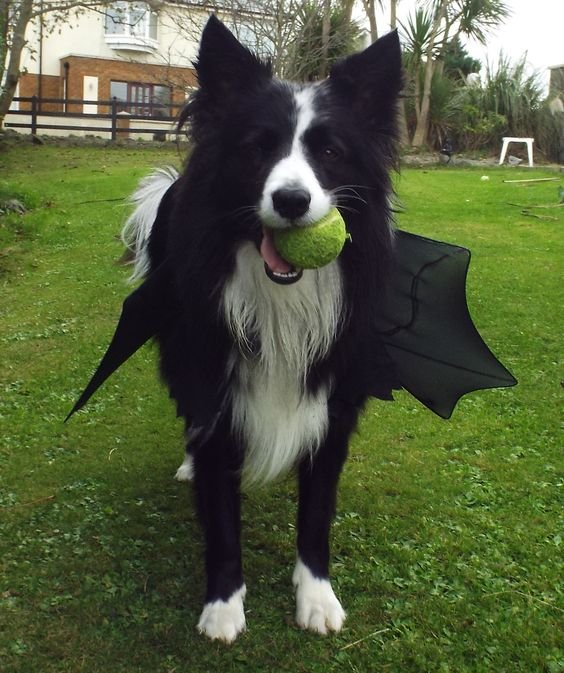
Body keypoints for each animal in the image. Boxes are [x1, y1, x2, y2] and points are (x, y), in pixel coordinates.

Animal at [125, 15, 404, 640]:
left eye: (330, 151)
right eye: (257, 149)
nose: (293, 200)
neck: (281, 298)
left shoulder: (333, 401)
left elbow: (317, 512)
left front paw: (317, 596)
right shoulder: (215, 387)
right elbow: (222, 516)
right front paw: (223, 606)